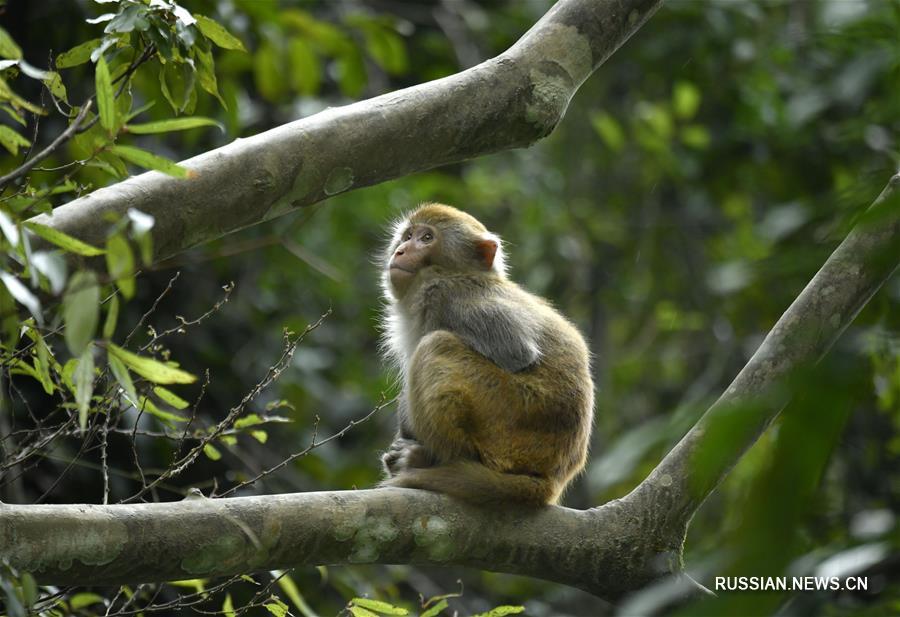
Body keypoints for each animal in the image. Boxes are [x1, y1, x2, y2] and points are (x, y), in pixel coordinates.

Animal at [382, 203, 596, 506]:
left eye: (426, 238)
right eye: (408, 236)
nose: (400, 251)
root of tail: (552, 479)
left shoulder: (452, 297)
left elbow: (517, 353)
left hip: (509, 422)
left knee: (435, 345)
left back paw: (436, 460)